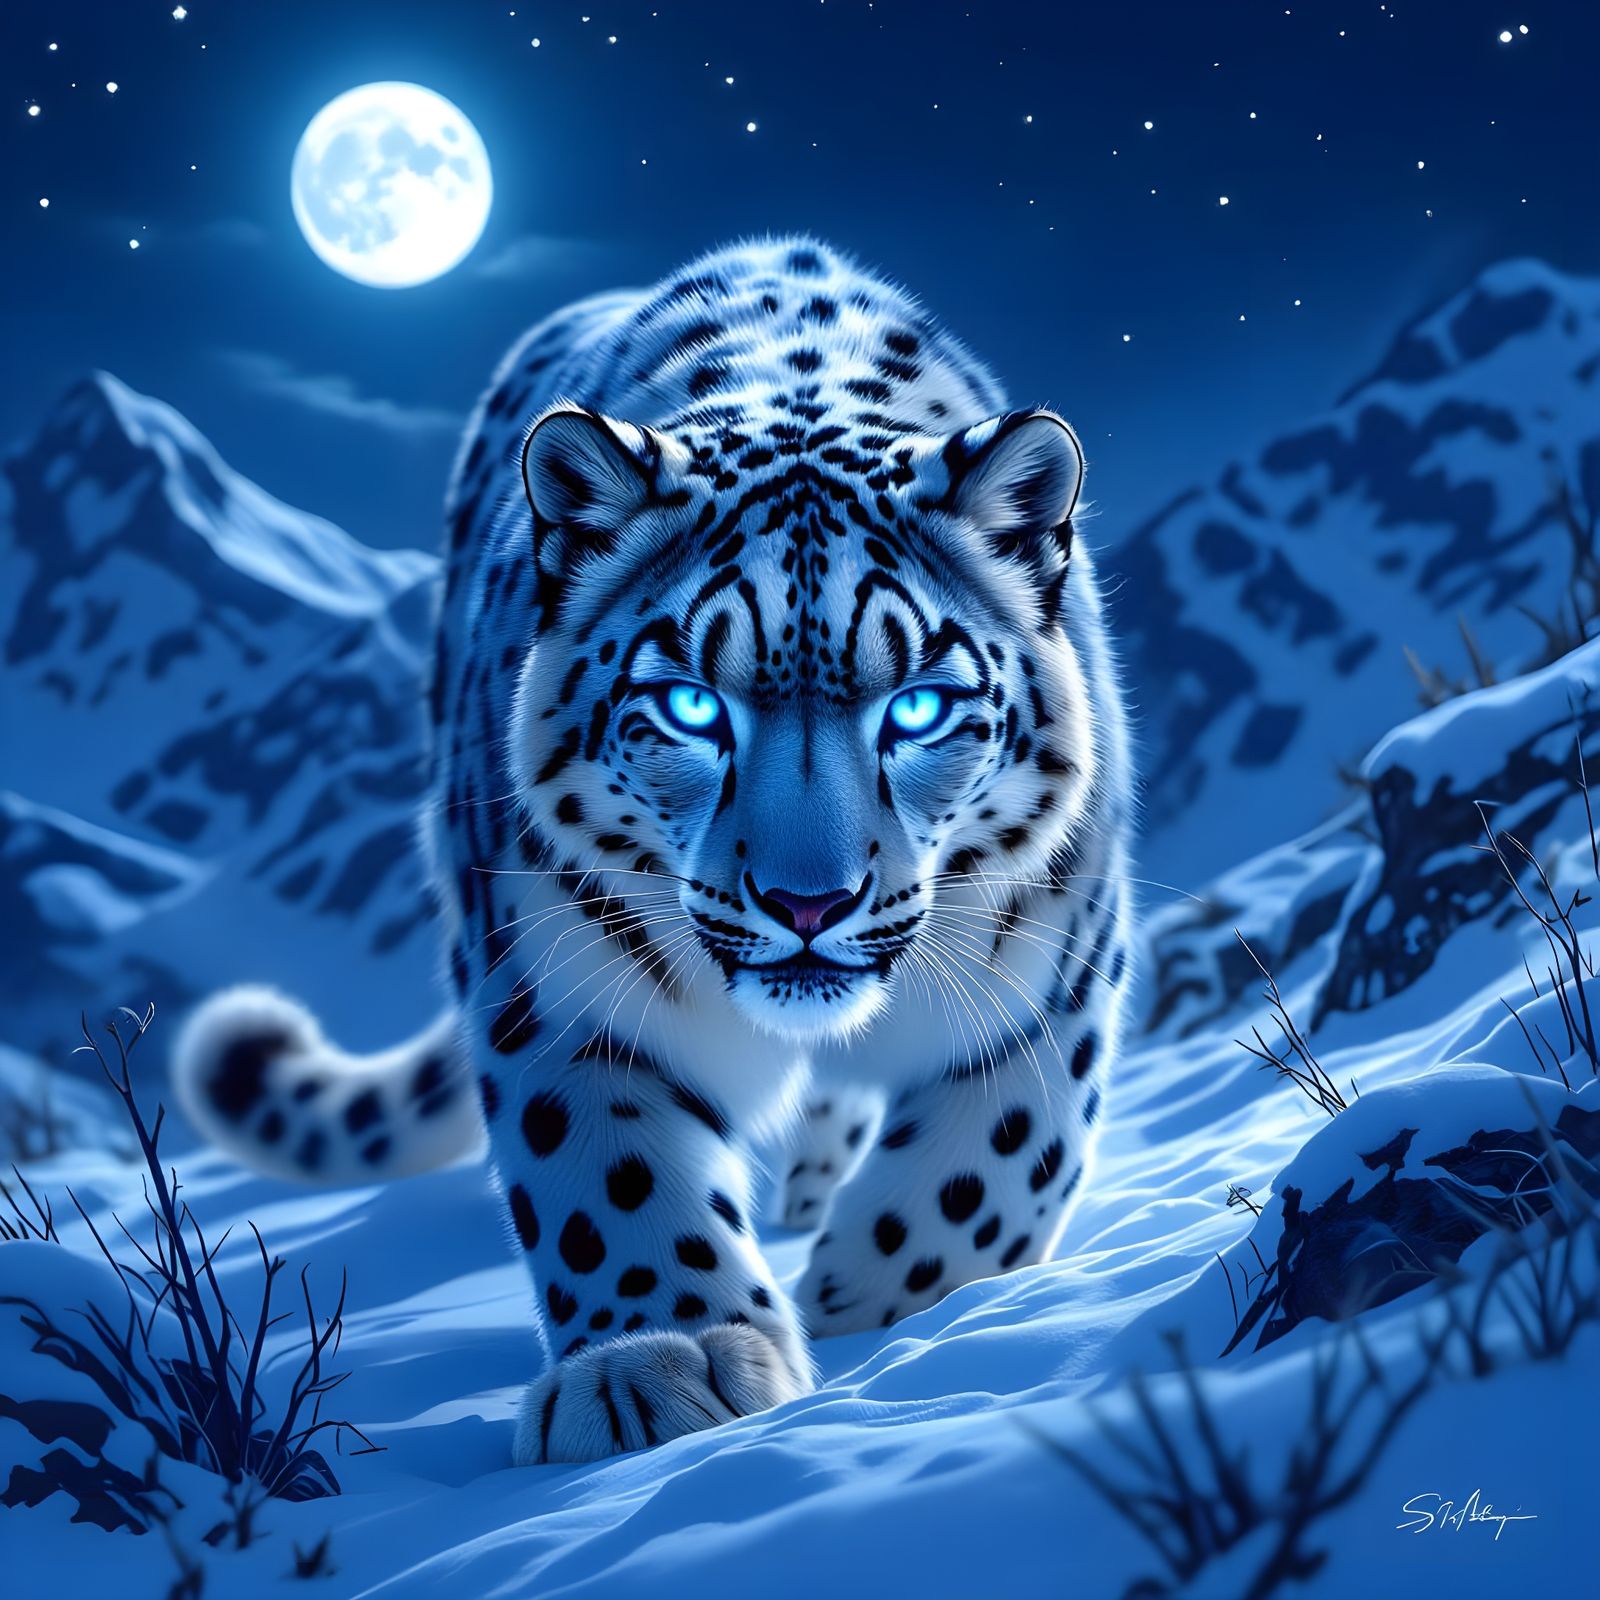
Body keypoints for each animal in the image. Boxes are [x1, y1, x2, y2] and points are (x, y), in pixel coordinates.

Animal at [173, 236, 1135, 1464]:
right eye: (689, 705)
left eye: (917, 707)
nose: (807, 903)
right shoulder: (556, 983)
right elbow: (608, 1171)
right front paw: (661, 1363)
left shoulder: (1052, 968)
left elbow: (995, 1165)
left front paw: (878, 1311)